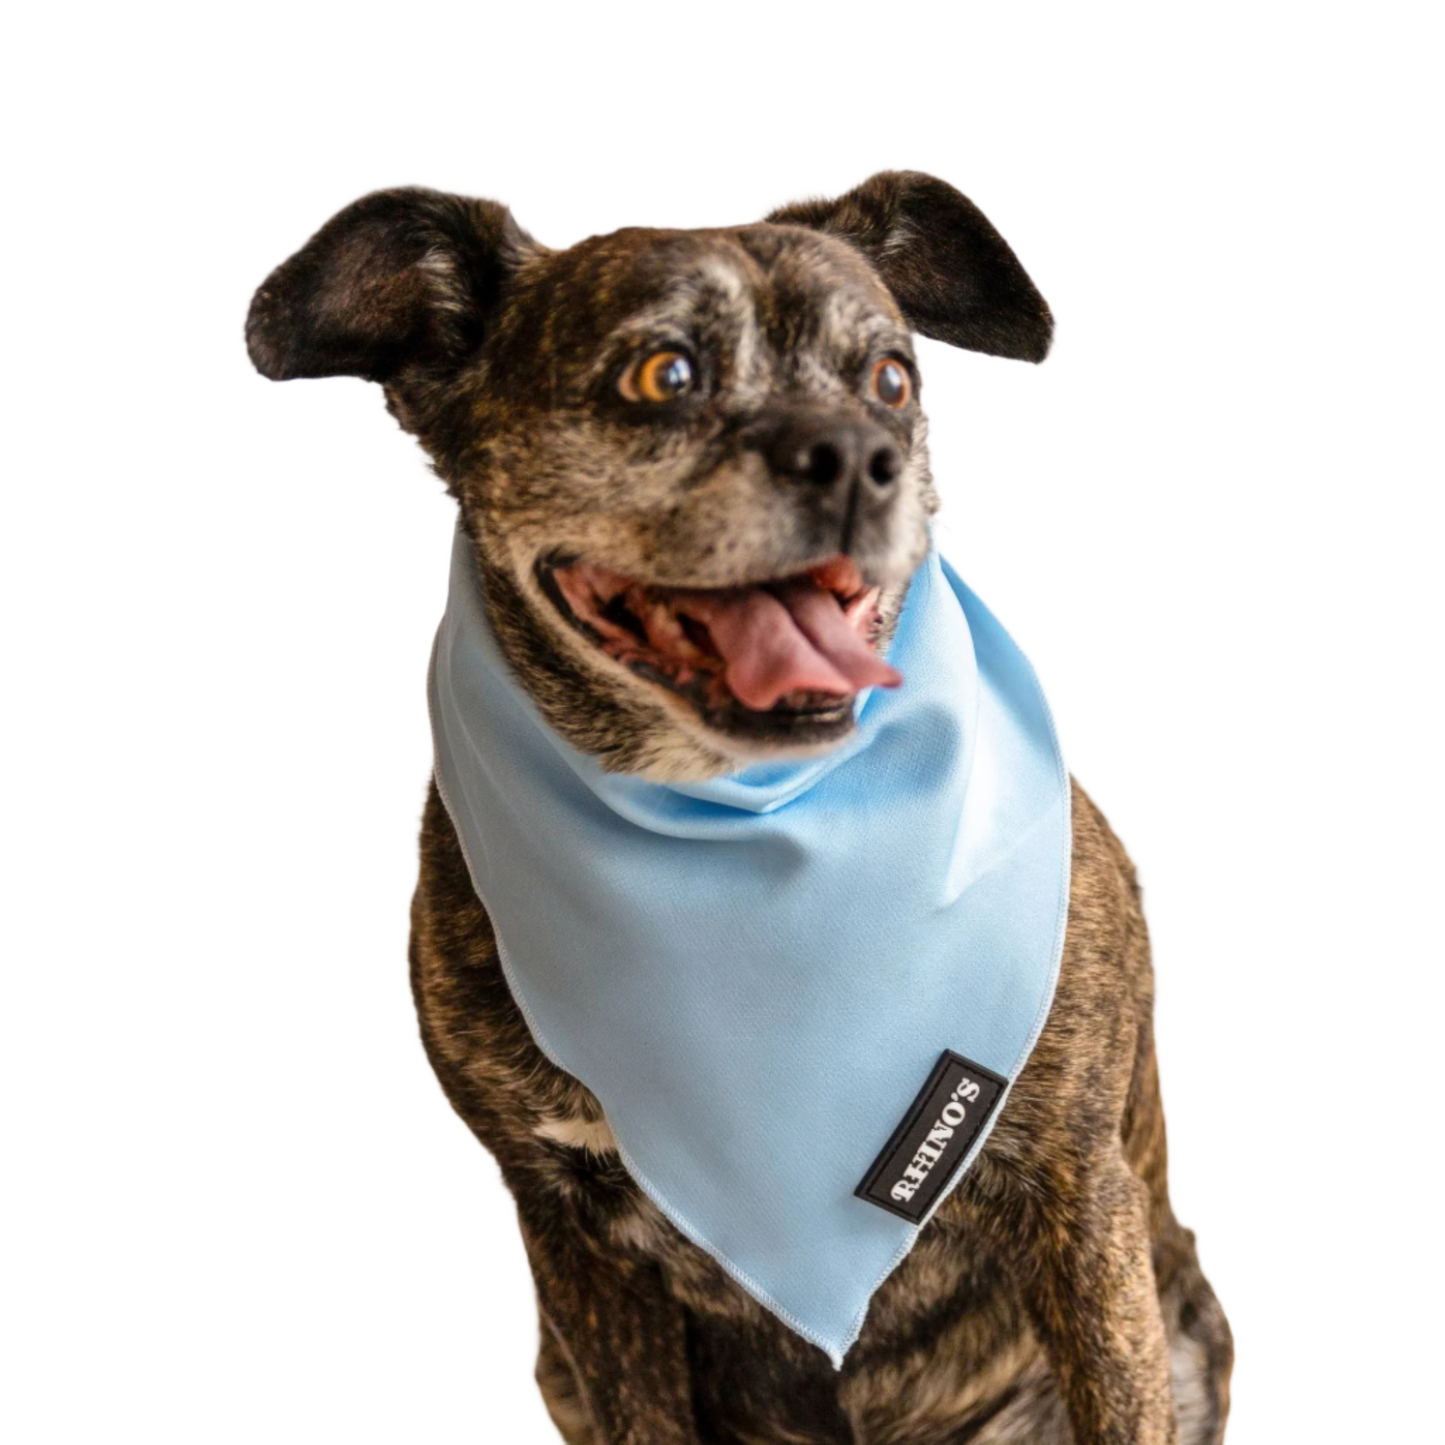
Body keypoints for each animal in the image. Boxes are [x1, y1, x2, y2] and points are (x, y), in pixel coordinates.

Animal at [245, 171, 1231, 1445]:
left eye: (890, 379)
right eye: (663, 373)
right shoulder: (570, 1235)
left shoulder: (1077, 1187)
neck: (729, 819)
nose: (856, 454)